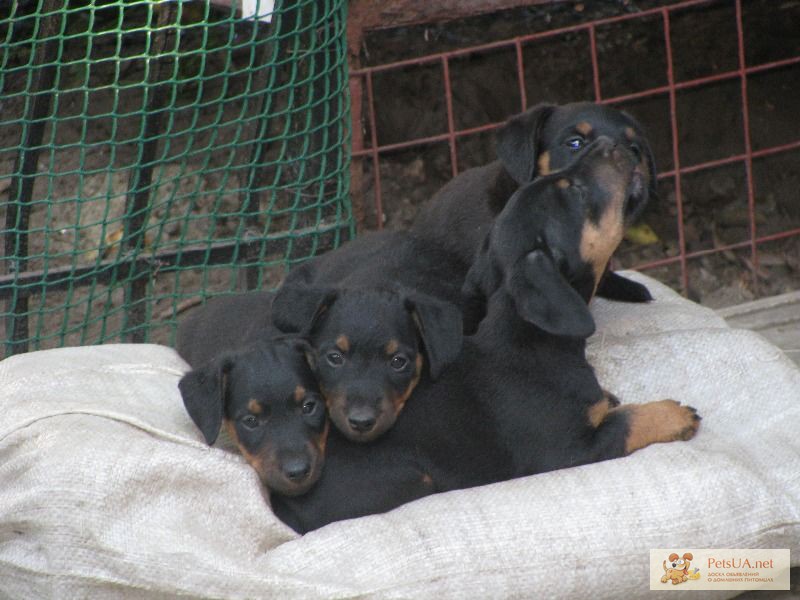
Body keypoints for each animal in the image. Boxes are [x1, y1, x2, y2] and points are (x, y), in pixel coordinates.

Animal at [270, 137, 700, 536]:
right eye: (574, 191)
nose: (611, 143)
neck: (531, 342)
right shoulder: (568, 451)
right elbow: (627, 423)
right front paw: (674, 415)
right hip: (414, 476)